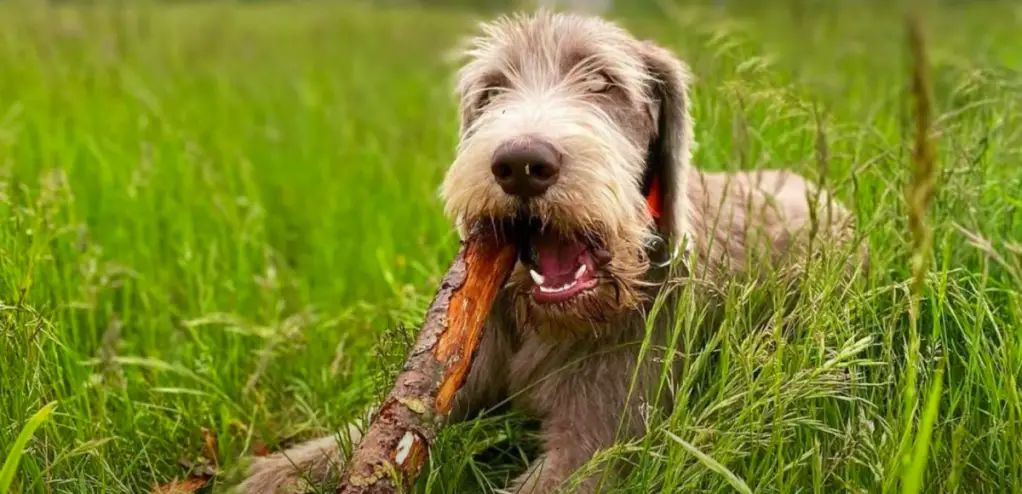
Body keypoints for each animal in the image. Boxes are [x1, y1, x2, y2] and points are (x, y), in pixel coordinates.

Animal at [235, 8, 858, 494]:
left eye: (603, 82)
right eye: (491, 92)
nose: (520, 163)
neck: (548, 321)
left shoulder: (600, 440)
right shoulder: (460, 377)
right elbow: (370, 431)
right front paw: (278, 470)